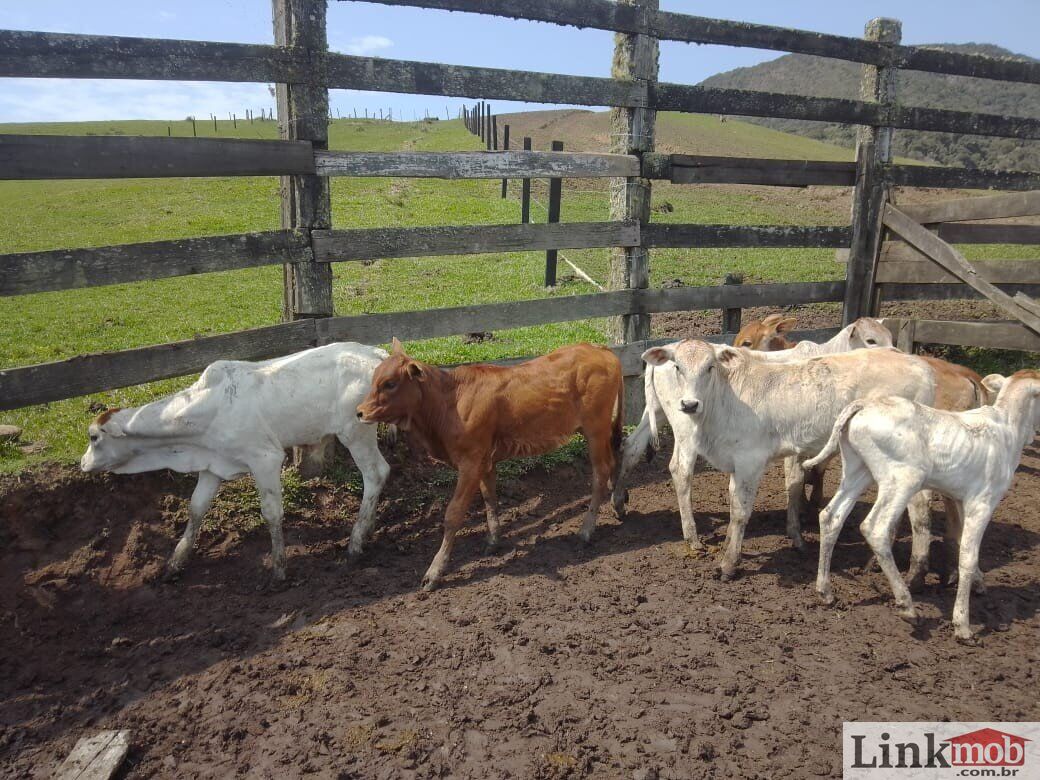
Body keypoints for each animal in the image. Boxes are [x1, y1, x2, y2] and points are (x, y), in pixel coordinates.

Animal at [80, 341, 391, 582]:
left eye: (94, 437)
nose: (83, 464)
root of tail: (376, 353)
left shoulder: (265, 458)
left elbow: (272, 513)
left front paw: (278, 568)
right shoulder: (213, 465)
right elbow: (196, 508)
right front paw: (175, 563)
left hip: (355, 432)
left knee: (376, 473)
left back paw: (355, 543)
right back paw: (368, 528)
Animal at [357, 339, 619, 590]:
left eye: (390, 383)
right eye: (375, 377)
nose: (359, 412)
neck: (450, 401)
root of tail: (599, 350)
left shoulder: (471, 463)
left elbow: (453, 514)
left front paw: (434, 572)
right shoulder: (485, 461)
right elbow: (490, 499)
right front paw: (493, 540)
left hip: (596, 430)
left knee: (601, 473)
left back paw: (586, 531)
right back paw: (619, 504)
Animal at [811, 372, 1040, 640]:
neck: (1009, 430)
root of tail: (865, 404)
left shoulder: (961, 499)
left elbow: (960, 540)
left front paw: (979, 583)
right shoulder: (982, 502)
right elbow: (968, 555)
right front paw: (963, 625)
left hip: (858, 470)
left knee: (831, 516)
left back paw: (825, 591)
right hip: (903, 478)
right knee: (875, 528)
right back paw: (907, 606)